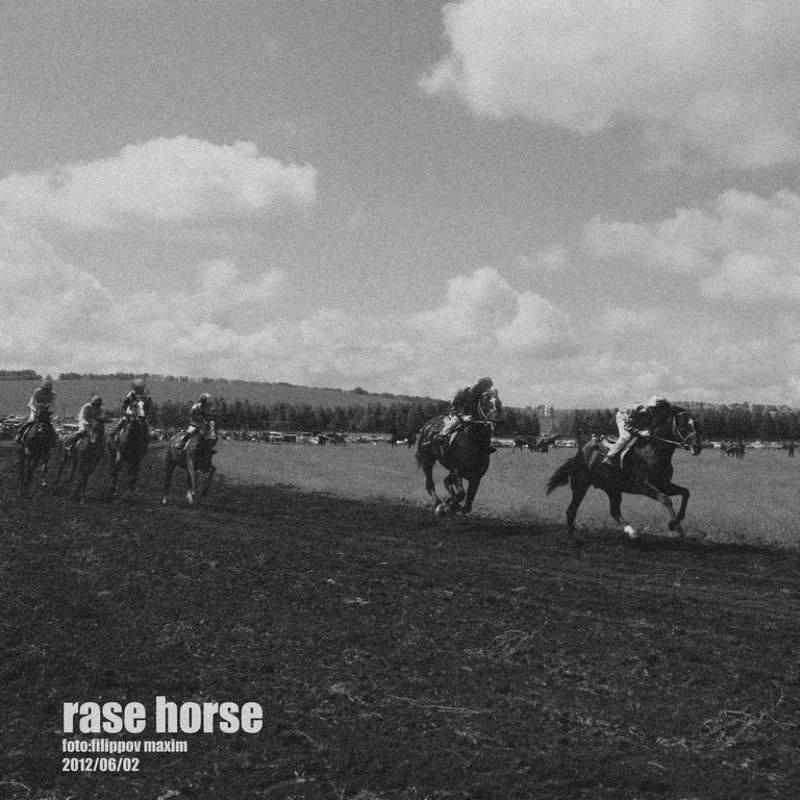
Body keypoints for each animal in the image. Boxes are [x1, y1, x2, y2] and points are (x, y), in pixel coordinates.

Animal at [546, 407, 702, 544]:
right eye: (684, 425)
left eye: (696, 424)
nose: (698, 447)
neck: (652, 451)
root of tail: (579, 453)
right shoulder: (643, 485)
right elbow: (666, 499)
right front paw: (675, 526)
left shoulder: (664, 484)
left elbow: (686, 493)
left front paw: (678, 525)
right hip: (580, 486)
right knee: (571, 510)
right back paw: (572, 538)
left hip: (612, 489)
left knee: (614, 511)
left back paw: (632, 532)